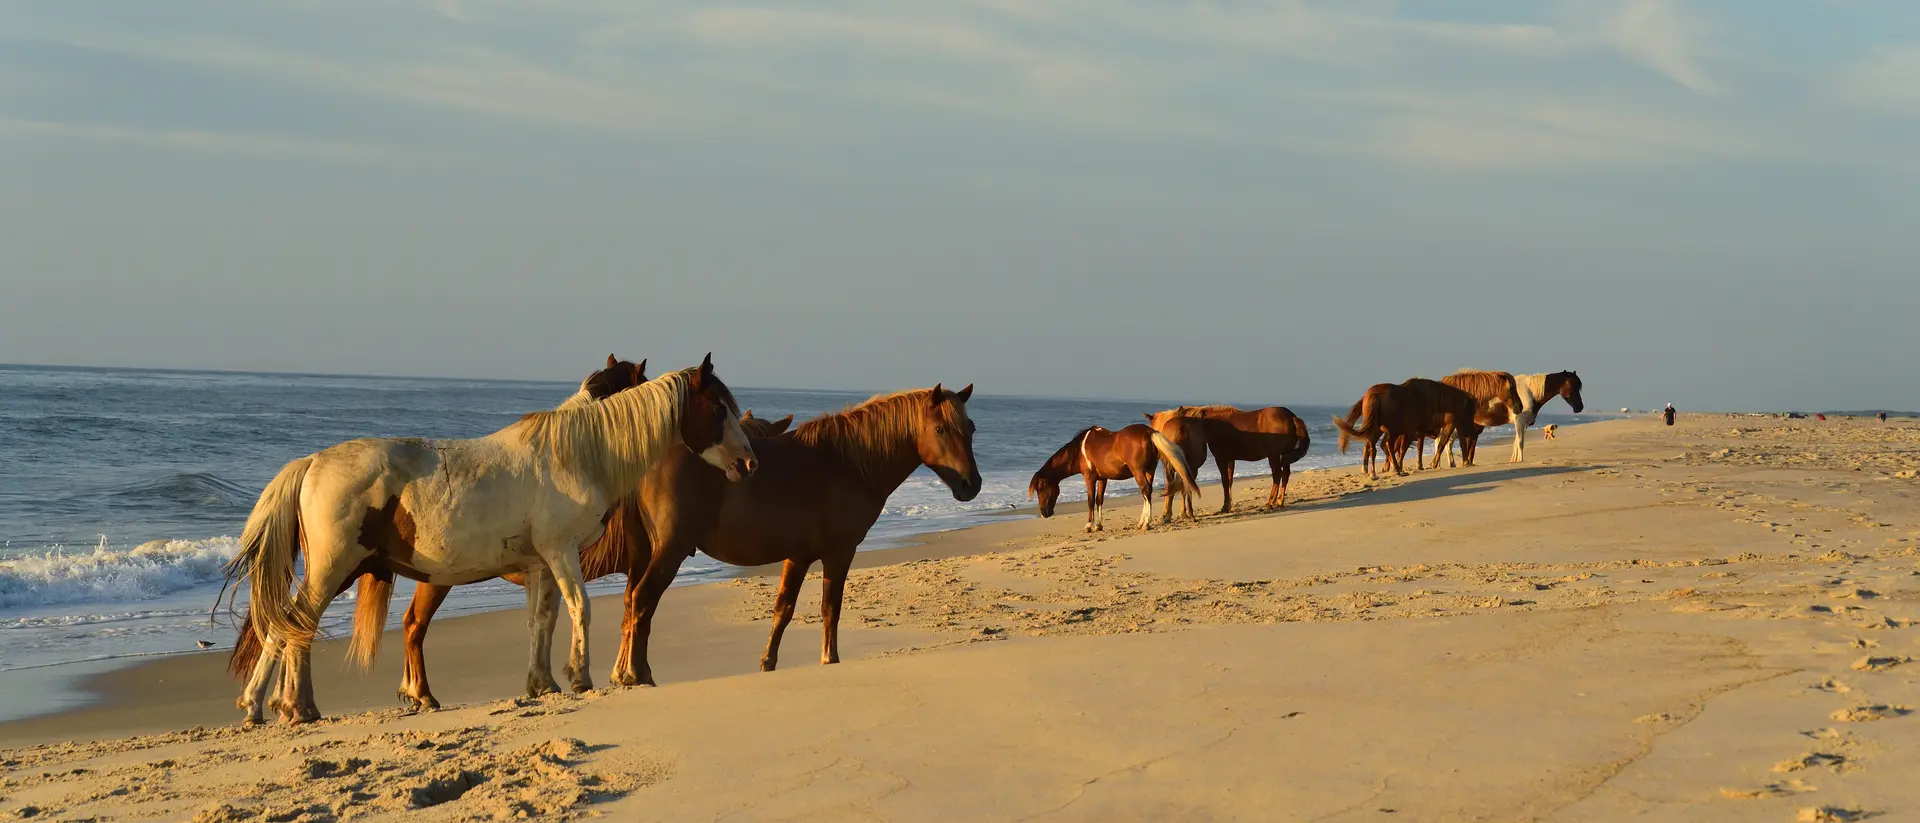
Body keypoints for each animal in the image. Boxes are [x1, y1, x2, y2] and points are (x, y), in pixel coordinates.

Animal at [221, 355, 756, 725]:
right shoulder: (562, 553)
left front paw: (543, 684)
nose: (748, 463)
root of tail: (311, 462)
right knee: (293, 625)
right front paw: (579, 677)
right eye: (718, 407)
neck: (576, 453)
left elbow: (543, 620)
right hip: (333, 570)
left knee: (290, 626)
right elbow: (580, 608)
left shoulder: (542, 563)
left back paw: (278, 706)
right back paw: (284, 706)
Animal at [1028, 424, 1197, 533]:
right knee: (1146, 493)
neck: (1080, 450)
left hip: (1138, 472)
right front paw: (1099, 525)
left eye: (1041, 488)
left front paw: (1089, 526)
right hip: (1149, 471)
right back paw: (1141, 522)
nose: (1044, 513)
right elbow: (1099, 500)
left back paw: (1146, 523)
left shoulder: (1089, 478)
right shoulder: (1103, 478)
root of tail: (1149, 431)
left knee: (1146, 491)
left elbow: (1090, 500)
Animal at [1146, 405, 1311, 513]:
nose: (1161, 454)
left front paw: (1225, 507)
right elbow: (1230, 481)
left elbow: (1225, 481)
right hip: (1284, 455)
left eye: (1166, 425)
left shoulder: (1221, 458)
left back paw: (1270, 502)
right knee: (1285, 475)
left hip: (1274, 456)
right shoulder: (1230, 459)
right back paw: (1280, 501)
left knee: (1277, 476)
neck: (1210, 423)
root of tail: (1292, 417)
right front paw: (1228, 505)